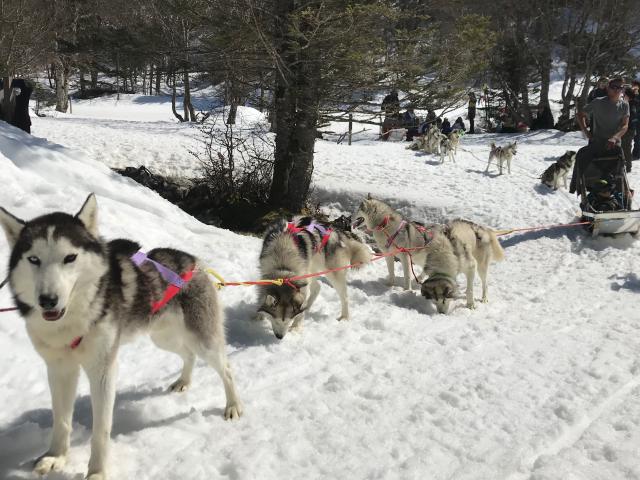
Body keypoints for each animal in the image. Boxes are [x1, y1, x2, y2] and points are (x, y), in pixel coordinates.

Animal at [0, 195, 241, 480]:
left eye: (70, 257)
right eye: (34, 259)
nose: (47, 300)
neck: (73, 318)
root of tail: (194, 261)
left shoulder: (103, 370)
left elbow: (101, 430)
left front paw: (97, 472)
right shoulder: (59, 369)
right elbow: (61, 420)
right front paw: (55, 457)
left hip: (203, 340)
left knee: (226, 369)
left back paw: (233, 406)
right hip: (164, 337)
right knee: (188, 354)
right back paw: (183, 381)